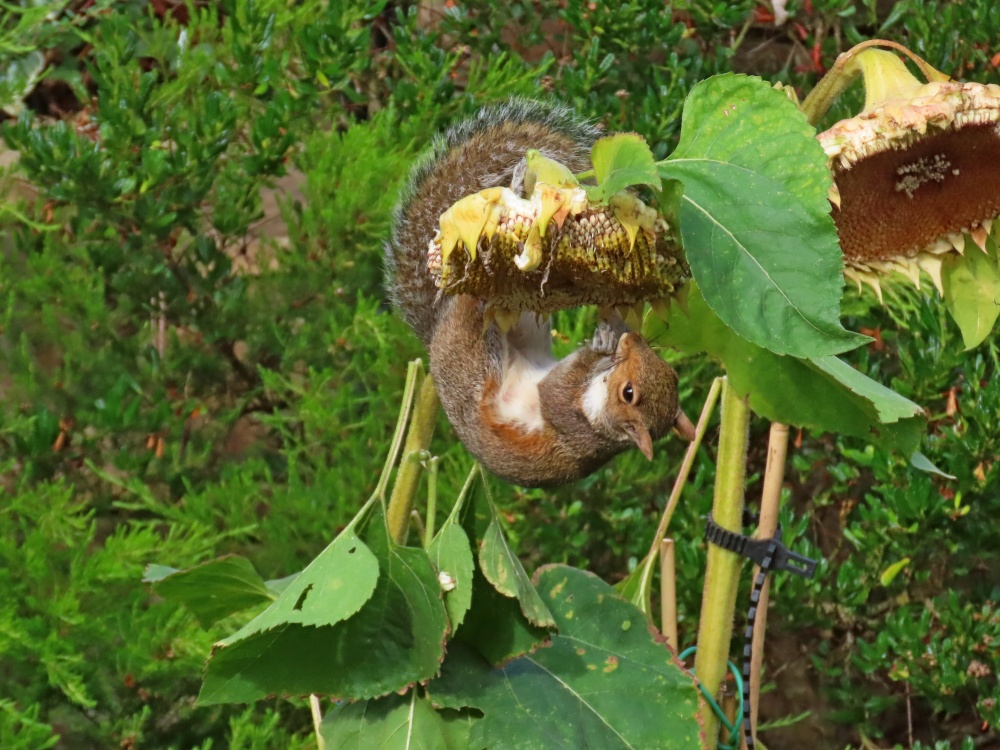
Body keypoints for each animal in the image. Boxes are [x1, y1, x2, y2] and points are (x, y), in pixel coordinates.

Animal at [382, 100, 696, 488]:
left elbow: (557, 388)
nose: (633, 341)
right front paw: (616, 324)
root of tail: (435, 336)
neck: (601, 423)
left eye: (629, 393)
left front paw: (604, 341)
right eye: (669, 371)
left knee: (473, 310)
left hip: (478, 355)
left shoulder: (566, 412)